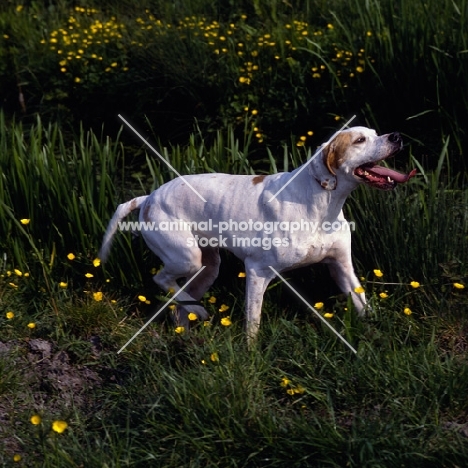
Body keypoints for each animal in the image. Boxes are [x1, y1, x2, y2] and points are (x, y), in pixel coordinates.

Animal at [99, 127, 416, 344]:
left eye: (375, 133)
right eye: (360, 140)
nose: (397, 136)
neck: (321, 204)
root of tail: (149, 197)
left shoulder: (342, 269)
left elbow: (365, 306)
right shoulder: (257, 271)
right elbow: (253, 322)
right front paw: (251, 355)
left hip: (206, 268)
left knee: (181, 305)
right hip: (186, 258)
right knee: (162, 280)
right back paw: (199, 313)